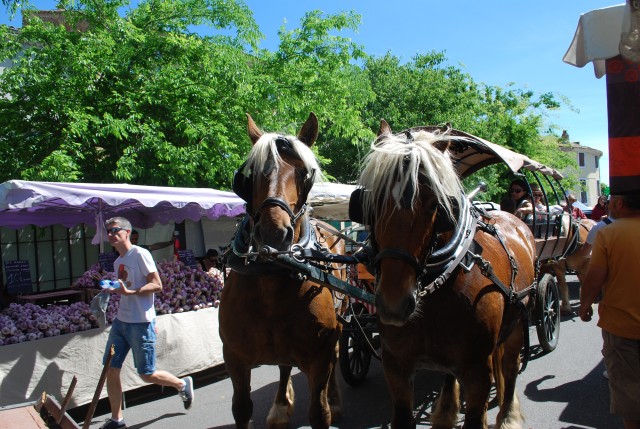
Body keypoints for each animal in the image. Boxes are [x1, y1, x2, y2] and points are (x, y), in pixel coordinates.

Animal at [219, 113, 345, 429]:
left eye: (304, 174)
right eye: (248, 176)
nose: (274, 233)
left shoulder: (320, 356)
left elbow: (319, 412)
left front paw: (329, 403)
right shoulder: (234, 358)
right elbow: (241, 409)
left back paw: (334, 399)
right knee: (285, 364)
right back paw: (280, 407)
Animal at [350, 121, 537, 429]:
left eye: (435, 204)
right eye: (368, 201)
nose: (393, 304)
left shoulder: (478, 372)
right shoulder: (396, 368)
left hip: (519, 322)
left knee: (510, 368)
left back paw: (508, 416)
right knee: (450, 375)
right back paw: (446, 412)